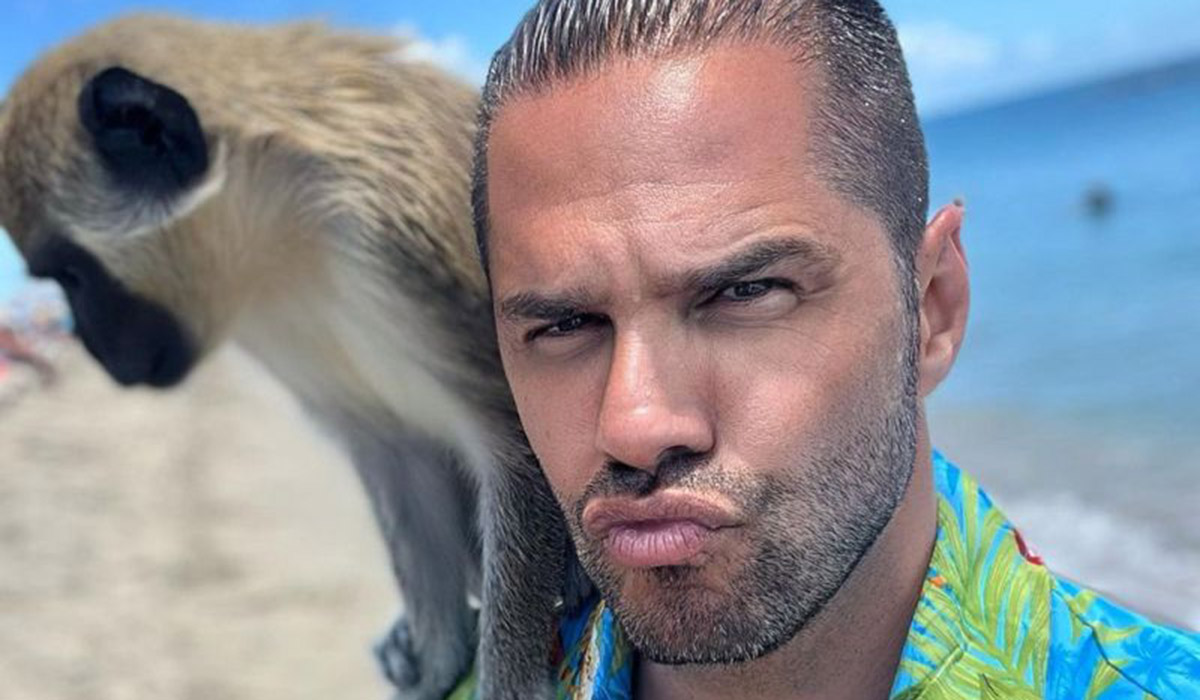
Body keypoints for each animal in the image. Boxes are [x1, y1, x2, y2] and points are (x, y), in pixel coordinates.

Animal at [0, 15, 574, 700]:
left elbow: (514, 440)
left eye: (71, 275)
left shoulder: (403, 239)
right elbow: (397, 455)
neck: (288, 237)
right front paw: (438, 662)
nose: (93, 347)